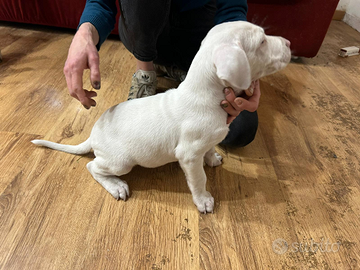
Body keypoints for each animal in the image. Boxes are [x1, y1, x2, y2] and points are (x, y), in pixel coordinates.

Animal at [32, 21, 292, 213]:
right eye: (262, 41)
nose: (289, 42)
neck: (205, 93)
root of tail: (93, 136)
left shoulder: (205, 142)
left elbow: (209, 150)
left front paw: (213, 158)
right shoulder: (189, 156)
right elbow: (199, 179)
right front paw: (203, 200)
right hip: (121, 162)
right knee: (93, 166)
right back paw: (116, 186)